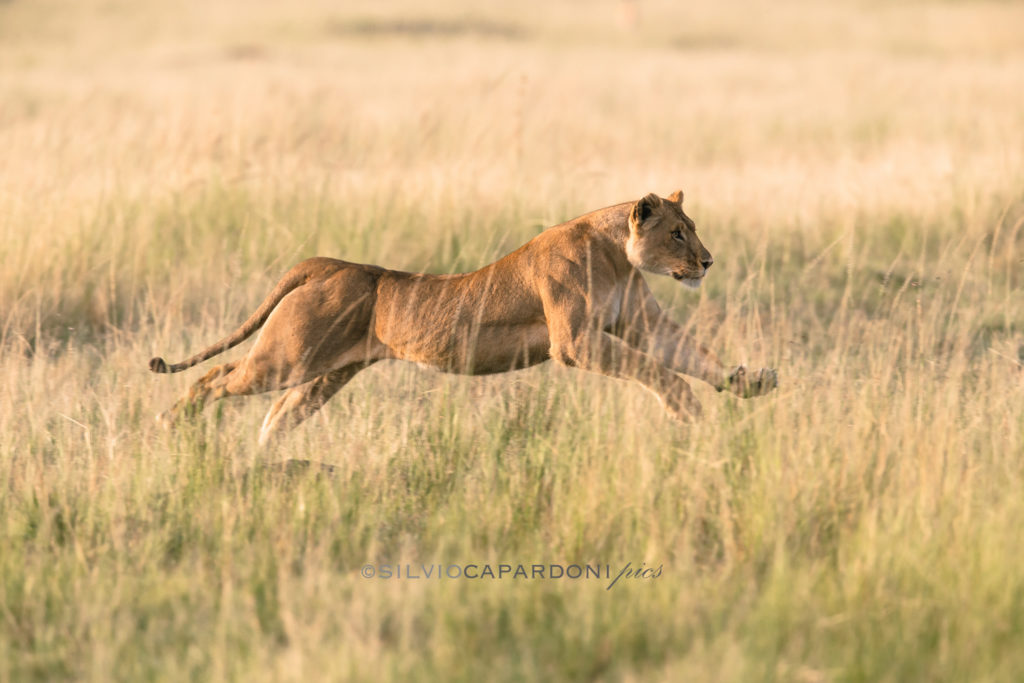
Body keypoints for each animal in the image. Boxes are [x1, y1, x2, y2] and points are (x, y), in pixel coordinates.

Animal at [150, 190, 778, 445]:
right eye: (677, 233)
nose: (707, 262)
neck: (617, 258)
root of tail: (329, 263)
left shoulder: (642, 324)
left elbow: (690, 355)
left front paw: (748, 382)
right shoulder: (575, 342)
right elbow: (658, 372)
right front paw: (686, 408)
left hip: (325, 375)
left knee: (276, 415)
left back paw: (261, 460)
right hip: (288, 357)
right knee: (213, 378)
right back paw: (171, 424)